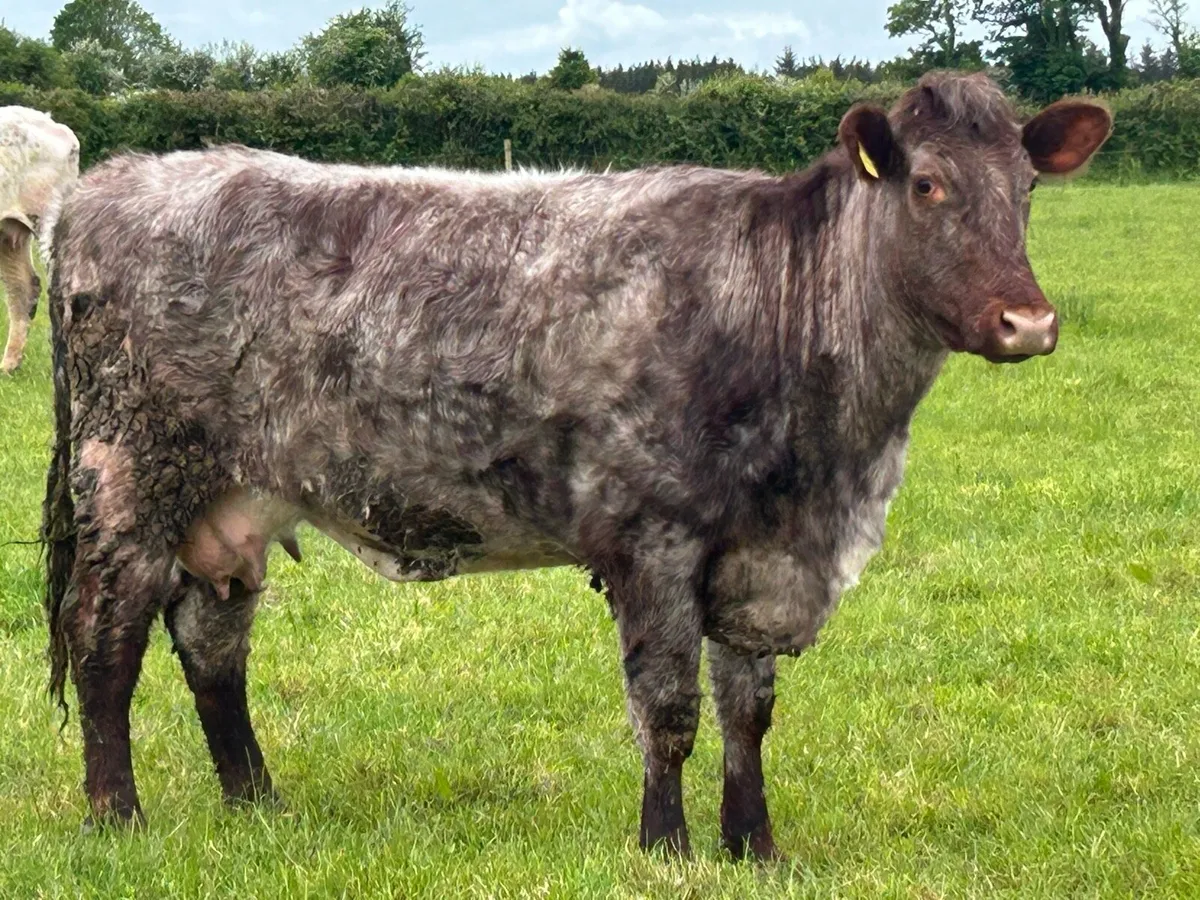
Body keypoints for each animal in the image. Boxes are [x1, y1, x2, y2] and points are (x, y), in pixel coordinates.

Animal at [42, 71, 1111, 859]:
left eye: (1026, 190)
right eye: (928, 186)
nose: (1029, 322)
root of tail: (109, 187)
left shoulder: (763, 556)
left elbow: (749, 711)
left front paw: (755, 847)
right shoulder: (654, 536)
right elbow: (670, 706)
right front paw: (667, 847)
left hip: (233, 501)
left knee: (211, 646)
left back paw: (258, 805)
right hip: (129, 474)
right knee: (106, 640)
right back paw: (117, 815)